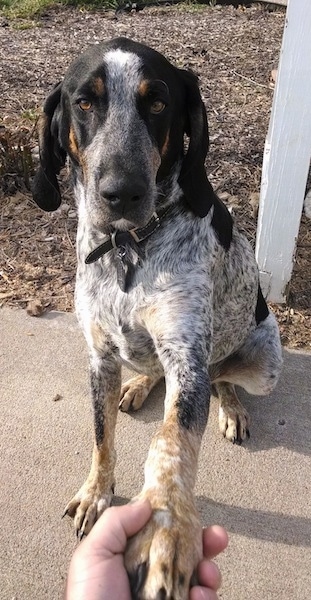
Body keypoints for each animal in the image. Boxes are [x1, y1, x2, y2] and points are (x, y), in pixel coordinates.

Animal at [33, 38, 284, 600]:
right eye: (85, 102)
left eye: (157, 102)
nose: (120, 193)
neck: (128, 247)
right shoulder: (99, 357)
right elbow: (101, 436)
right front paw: (96, 493)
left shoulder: (186, 360)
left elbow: (169, 443)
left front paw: (165, 528)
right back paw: (140, 386)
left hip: (265, 363)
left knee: (221, 374)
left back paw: (230, 407)